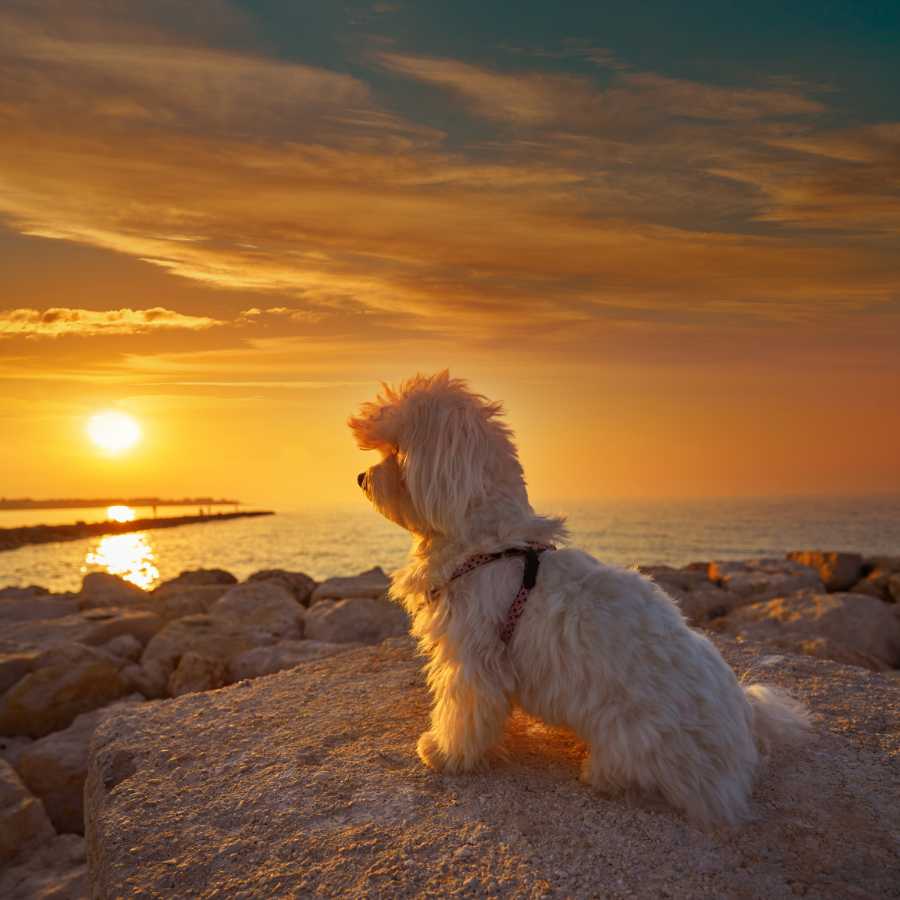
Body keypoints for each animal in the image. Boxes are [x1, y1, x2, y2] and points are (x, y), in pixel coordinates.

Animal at [348, 370, 812, 828]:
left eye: (396, 452)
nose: (359, 478)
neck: (487, 543)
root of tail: (742, 741)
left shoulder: (471, 659)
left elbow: (463, 711)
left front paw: (444, 753)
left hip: (633, 736)